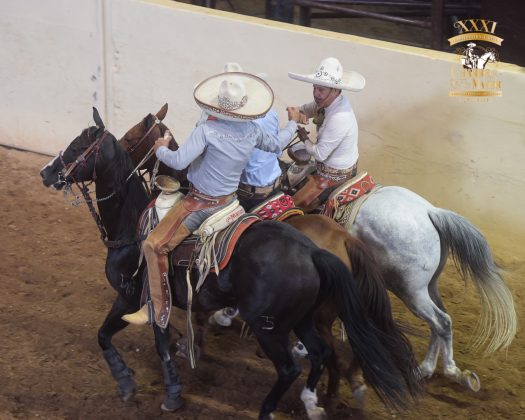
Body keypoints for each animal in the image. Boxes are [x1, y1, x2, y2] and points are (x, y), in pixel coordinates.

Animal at [39, 109, 420, 420]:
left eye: (78, 146)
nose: (47, 172)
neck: (131, 226)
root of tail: (320, 249)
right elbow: (120, 336)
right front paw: (145, 374)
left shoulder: (135, 296)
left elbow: (134, 339)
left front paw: (163, 388)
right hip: (306, 319)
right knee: (323, 352)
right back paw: (317, 400)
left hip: (273, 327)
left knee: (294, 366)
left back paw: (278, 407)